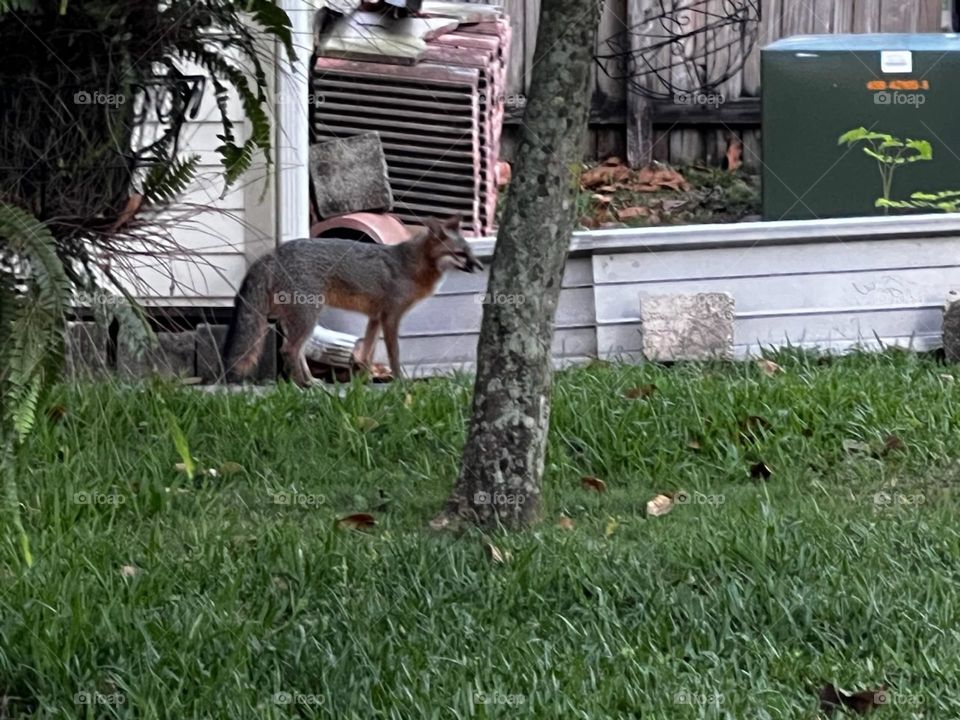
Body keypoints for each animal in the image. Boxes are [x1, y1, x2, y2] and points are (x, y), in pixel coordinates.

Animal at [222, 214, 483, 387]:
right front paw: (399, 381)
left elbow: (366, 352)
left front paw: (365, 380)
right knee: (289, 349)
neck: (410, 264)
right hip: (308, 317)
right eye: (461, 254)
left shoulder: (375, 317)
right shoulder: (391, 317)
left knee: (297, 350)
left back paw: (311, 380)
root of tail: (273, 253)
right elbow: (394, 354)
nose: (480, 267)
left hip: (299, 320)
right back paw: (303, 385)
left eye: (471, 252)